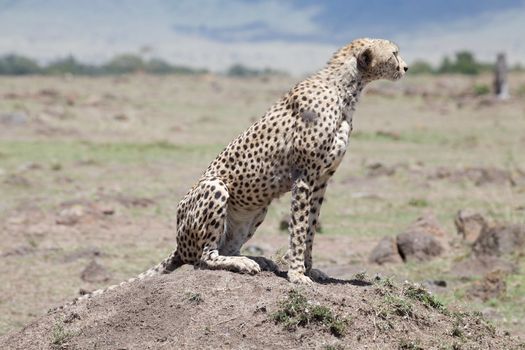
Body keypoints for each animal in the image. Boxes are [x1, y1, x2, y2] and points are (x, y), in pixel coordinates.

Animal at [70, 38, 406, 304]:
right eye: (394, 53)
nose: (405, 68)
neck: (345, 88)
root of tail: (178, 245)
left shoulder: (322, 180)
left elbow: (310, 227)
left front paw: (311, 269)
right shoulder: (305, 176)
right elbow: (298, 229)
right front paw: (298, 274)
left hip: (256, 210)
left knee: (227, 245)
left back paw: (253, 259)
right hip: (215, 188)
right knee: (204, 256)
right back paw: (242, 264)